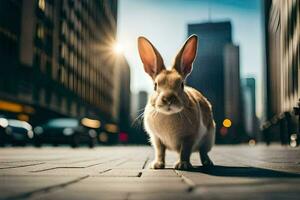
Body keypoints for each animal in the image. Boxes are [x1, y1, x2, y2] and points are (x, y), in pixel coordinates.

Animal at [137, 34, 214, 170]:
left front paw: (183, 165)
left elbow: (185, 151)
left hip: (208, 139)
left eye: (182, 84)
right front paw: (157, 165)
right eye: (155, 85)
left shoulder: (189, 138)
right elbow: (160, 151)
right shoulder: (156, 139)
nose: (168, 99)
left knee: (203, 152)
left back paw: (207, 163)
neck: (169, 115)